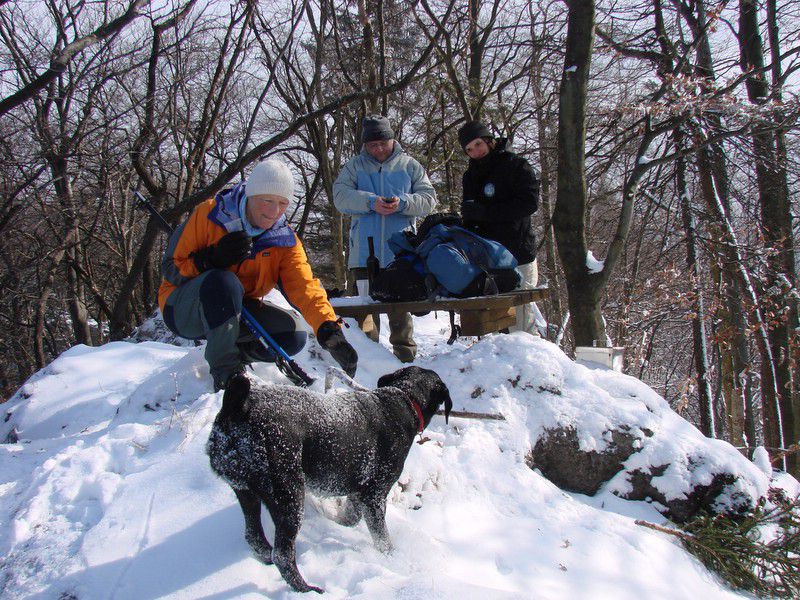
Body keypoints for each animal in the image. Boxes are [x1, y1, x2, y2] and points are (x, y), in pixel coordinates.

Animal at [206, 364, 454, 592]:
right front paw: (392, 560)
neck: (405, 397)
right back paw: (306, 589)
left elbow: (350, 518)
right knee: (283, 556)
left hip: (245, 491)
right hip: (288, 497)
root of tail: (236, 409)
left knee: (254, 537)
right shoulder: (374, 495)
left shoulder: (358, 493)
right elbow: (382, 538)